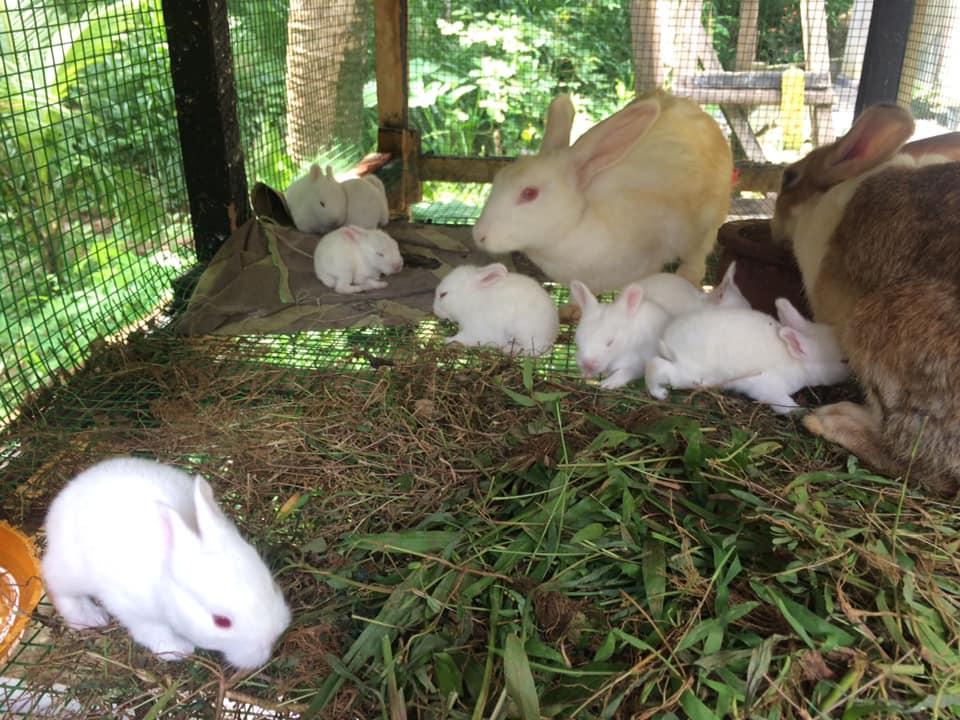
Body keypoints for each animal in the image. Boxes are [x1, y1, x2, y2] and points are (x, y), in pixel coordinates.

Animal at [41, 456, 291, 670]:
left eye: (272, 585)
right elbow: (154, 632)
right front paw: (179, 650)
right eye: (221, 622)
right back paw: (90, 618)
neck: (165, 588)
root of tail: (68, 493)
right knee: (55, 584)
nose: (272, 640)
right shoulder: (135, 611)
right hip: (70, 569)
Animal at [472, 90, 733, 293]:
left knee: (696, 258)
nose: (479, 234)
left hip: (704, 227)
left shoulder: (650, 260)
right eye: (498, 178)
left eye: (529, 193)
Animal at [645, 298, 849, 413]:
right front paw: (799, 411)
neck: (796, 361)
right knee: (655, 365)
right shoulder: (768, 386)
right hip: (691, 375)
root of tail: (668, 338)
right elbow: (783, 404)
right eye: (844, 361)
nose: (852, 373)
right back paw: (659, 393)